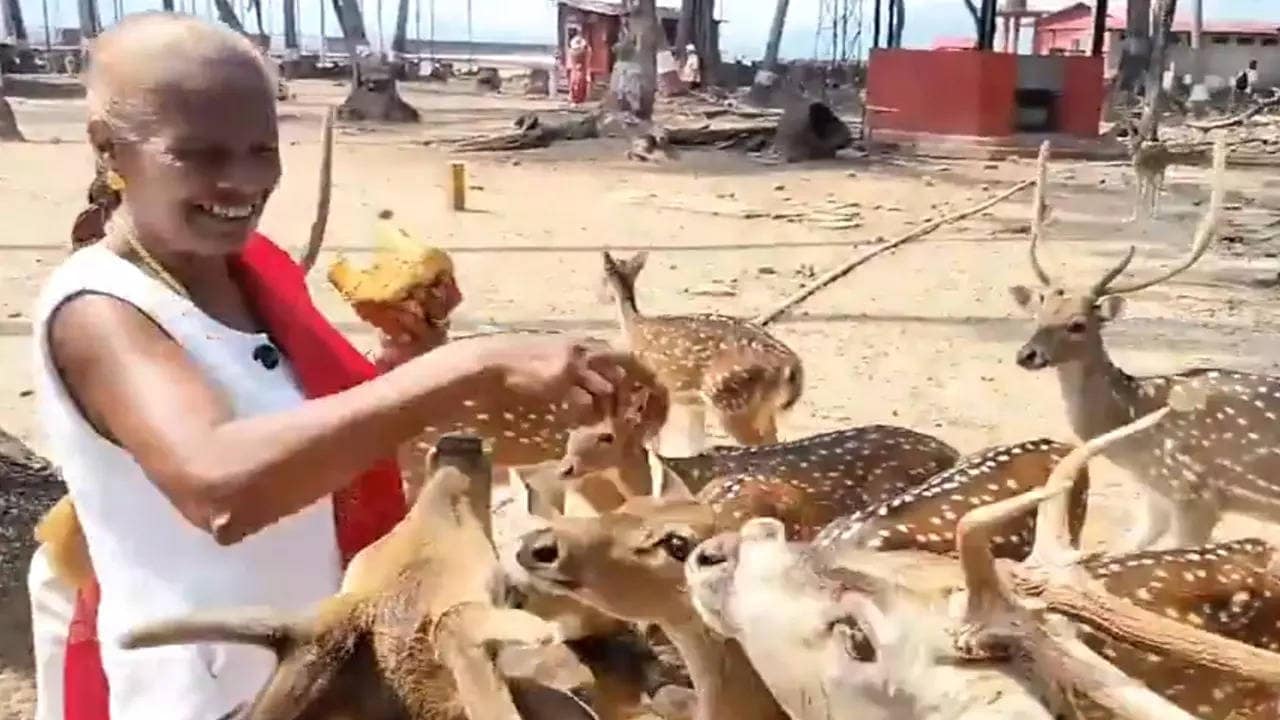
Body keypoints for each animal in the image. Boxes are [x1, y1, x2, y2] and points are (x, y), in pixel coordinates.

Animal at [599, 251, 803, 454]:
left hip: (729, 401)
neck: (634, 326)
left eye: (603, 277)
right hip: (761, 408)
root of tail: (790, 365)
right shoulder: (694, 404)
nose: (601, 294)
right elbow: (695, 443)